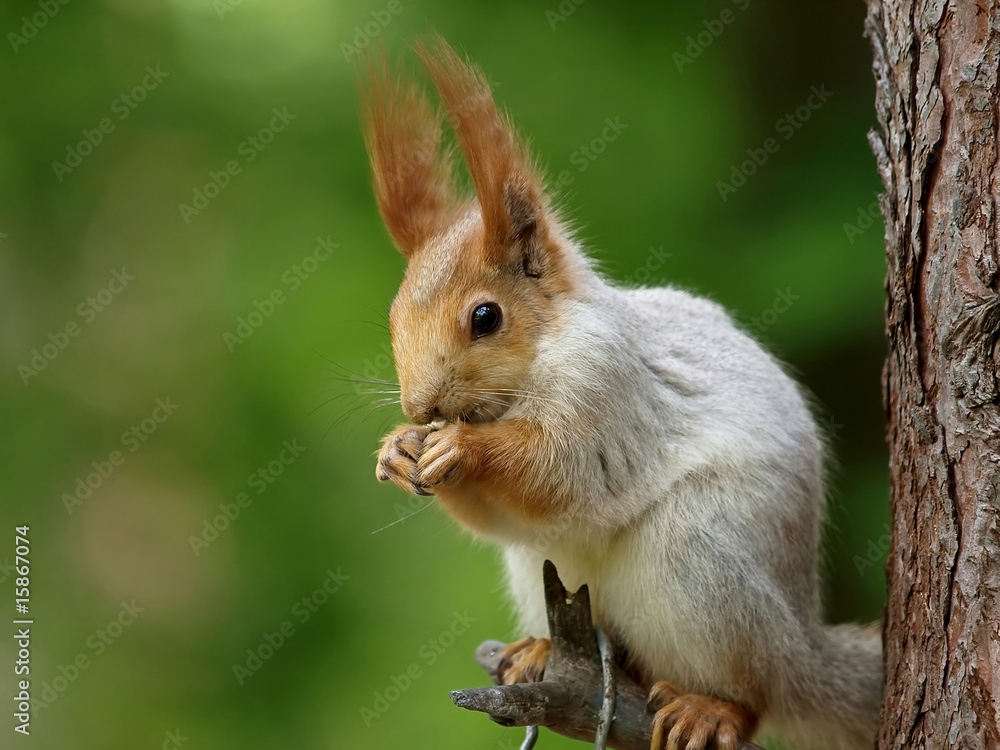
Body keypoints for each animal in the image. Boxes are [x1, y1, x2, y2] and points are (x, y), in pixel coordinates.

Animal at [360, 35, 882, 750]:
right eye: (391, 317)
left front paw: (463, 449)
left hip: (702, 559)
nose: (421, 408)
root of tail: (801, 649)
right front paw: (397, 449)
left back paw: (714, 707)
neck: (534, 368)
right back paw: (539, 652)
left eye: (486, 317)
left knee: (757, 691)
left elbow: (562, 472)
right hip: (536, 569)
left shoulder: (608, 389)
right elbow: (498, 517)